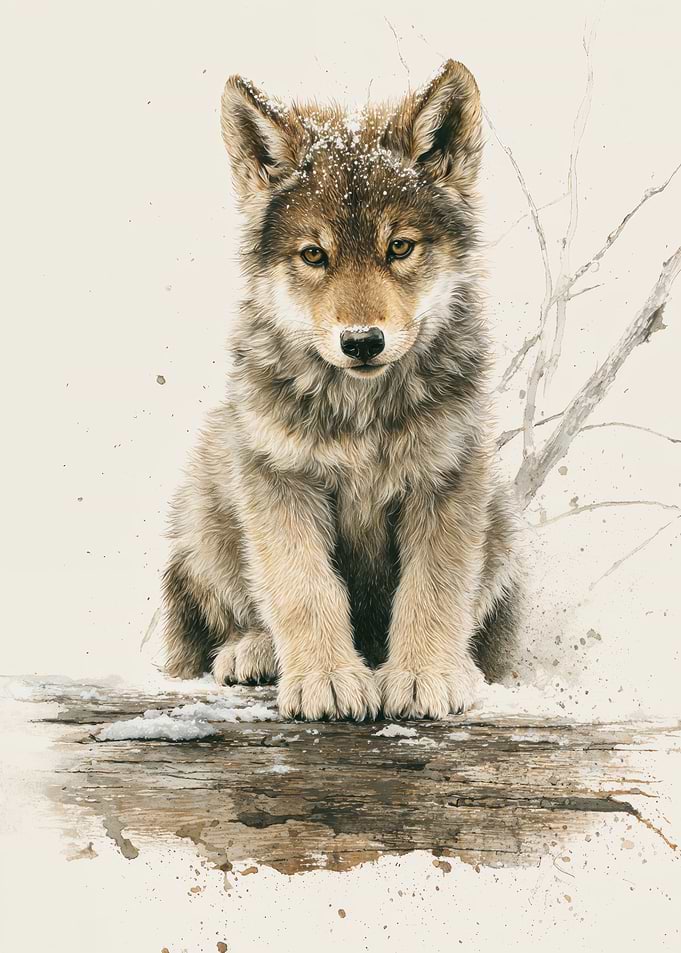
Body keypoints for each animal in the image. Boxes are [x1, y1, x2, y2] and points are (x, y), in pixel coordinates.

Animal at [162, 59, 522, 720]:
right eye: (314, 255)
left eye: (398, 247)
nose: (361, 342)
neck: (362, 415)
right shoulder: (280, 479)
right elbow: (304, 587)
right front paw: (326, 679)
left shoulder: (447, 482)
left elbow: (434, 590)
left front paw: (424, 675)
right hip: (206, 501)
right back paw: (254, 651)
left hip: (503, 520)